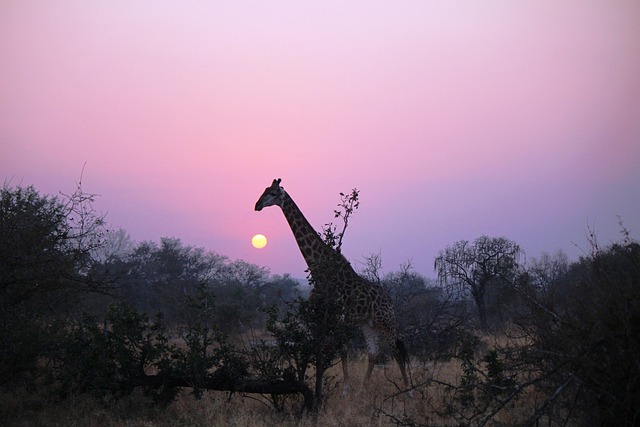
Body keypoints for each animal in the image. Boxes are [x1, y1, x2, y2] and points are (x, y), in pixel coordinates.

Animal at [255, 178, 410, 394]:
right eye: (264, 190)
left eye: (272, 193)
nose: (257, 205)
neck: (318, 271)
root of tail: (390, 301)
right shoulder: (322, 316)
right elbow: (323, 348)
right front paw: (327, 387)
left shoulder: (338, 317)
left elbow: (339, 349)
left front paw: (344, 389)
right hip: (368, 323)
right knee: (374, 352)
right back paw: (363, 389)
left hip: (385, 321)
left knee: (396, 350)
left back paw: (408, 391)